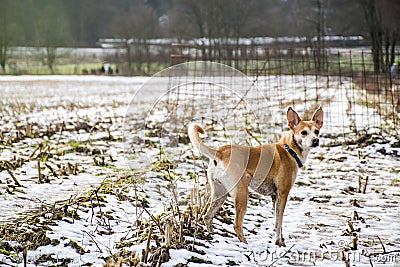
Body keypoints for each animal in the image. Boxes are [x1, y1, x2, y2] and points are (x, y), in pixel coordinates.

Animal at [189, 106, 324, 247]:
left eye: (316, 131)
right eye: (303, 132)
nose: (316, 140)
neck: (290, 150)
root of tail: (219, 152)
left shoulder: (275, 197)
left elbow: (277, 222)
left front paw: (280, 239)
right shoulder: (283, 193)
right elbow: (279, 221)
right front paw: (278, 242)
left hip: (219, 194)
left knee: (207, 216)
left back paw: (212, 237)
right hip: (242, 194)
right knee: (237, 224)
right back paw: (245, 243)